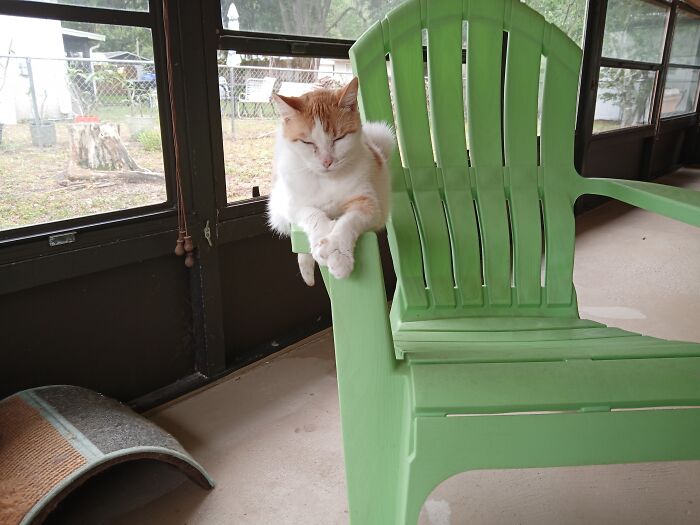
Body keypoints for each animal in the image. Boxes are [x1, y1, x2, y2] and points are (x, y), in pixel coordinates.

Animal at [268, 75, 396, 284]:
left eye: (339, 138)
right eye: (307, 142)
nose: (326, 161)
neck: (326, 181)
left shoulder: (369, 205)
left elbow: (348, 222)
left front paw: (338, 254)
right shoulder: (293, 206)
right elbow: (314, 215)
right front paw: (322, 237)